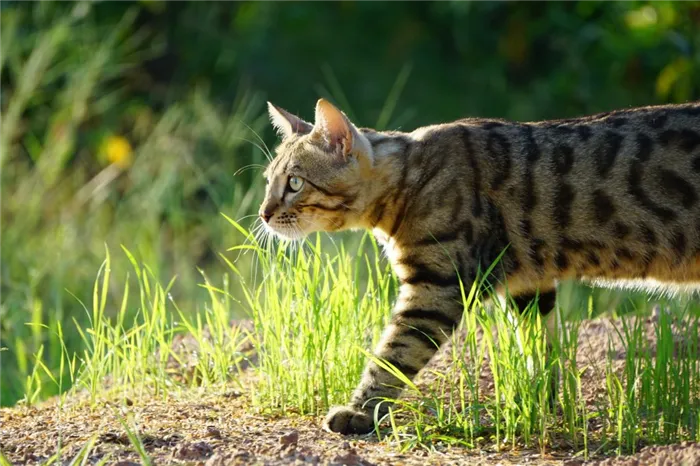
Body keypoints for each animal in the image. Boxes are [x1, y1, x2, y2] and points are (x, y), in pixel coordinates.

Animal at [260, 97, 700, 434]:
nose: (263, 214)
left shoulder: (436, 287)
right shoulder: (530, 286)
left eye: (294, 183)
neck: (409, 180)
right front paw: (538, 403)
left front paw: (360, 411)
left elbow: (392, 354)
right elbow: (539, 350)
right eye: (267, 181)